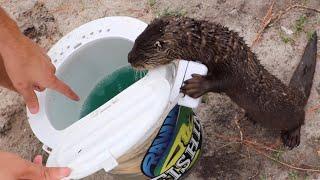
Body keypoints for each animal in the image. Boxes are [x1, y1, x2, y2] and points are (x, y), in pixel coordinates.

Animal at [127, 16, 318, 149]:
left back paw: (292, 136)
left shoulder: (235, 68)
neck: (213, 48)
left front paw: (196, 85)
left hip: (291, 114)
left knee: (300, 119)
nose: (129, 58)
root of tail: (294, 94)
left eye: (142, 55)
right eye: (135, 42)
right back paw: (251, 116)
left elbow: (221, 82)